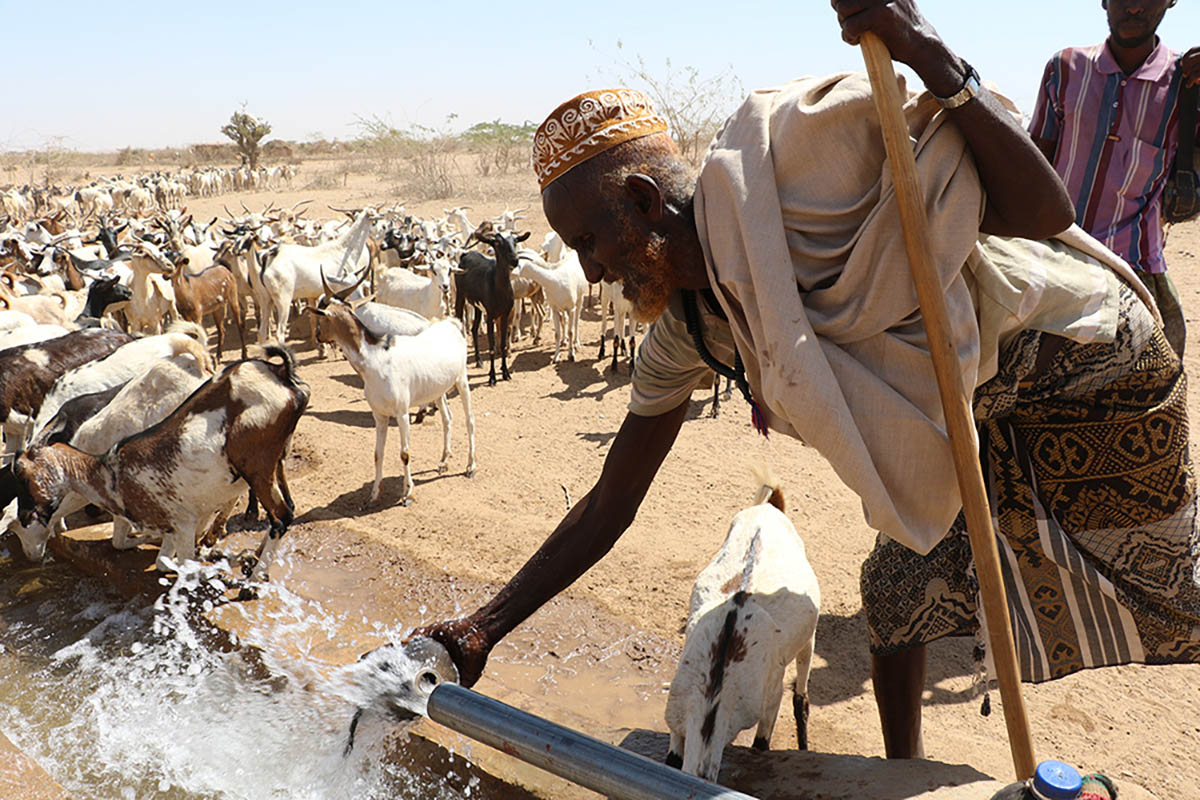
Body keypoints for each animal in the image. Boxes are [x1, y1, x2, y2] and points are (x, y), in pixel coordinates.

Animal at [12, 347, 309, 578]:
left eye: (23, 475)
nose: (25, 515)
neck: (110, 473)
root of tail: (281, 374)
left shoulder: (184, 521)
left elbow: (184, 564)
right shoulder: (174, 525)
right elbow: (165, 562)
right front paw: (228, 557)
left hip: (258, 466)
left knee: (282, 516)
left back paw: (254, 580)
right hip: (276, 460)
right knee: (285, 510)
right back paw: (254, 562)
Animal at [453, 230, 530, 386]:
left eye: (515, 241)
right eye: (497, 242)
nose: (514, 260)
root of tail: (465, 255)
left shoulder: (504, 314)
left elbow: (503, 344)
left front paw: (505, 373)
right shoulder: (490, 316)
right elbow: (492, 347)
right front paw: (492, 377)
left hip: (477, 306)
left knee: (474, 328)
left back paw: (478, 361)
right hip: (460, 295)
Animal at [667, 472, 825, 786]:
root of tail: (769, 509)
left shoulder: (769, 697)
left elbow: (761, 745)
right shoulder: (678, 721)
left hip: (808, 639)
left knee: (801, 695)